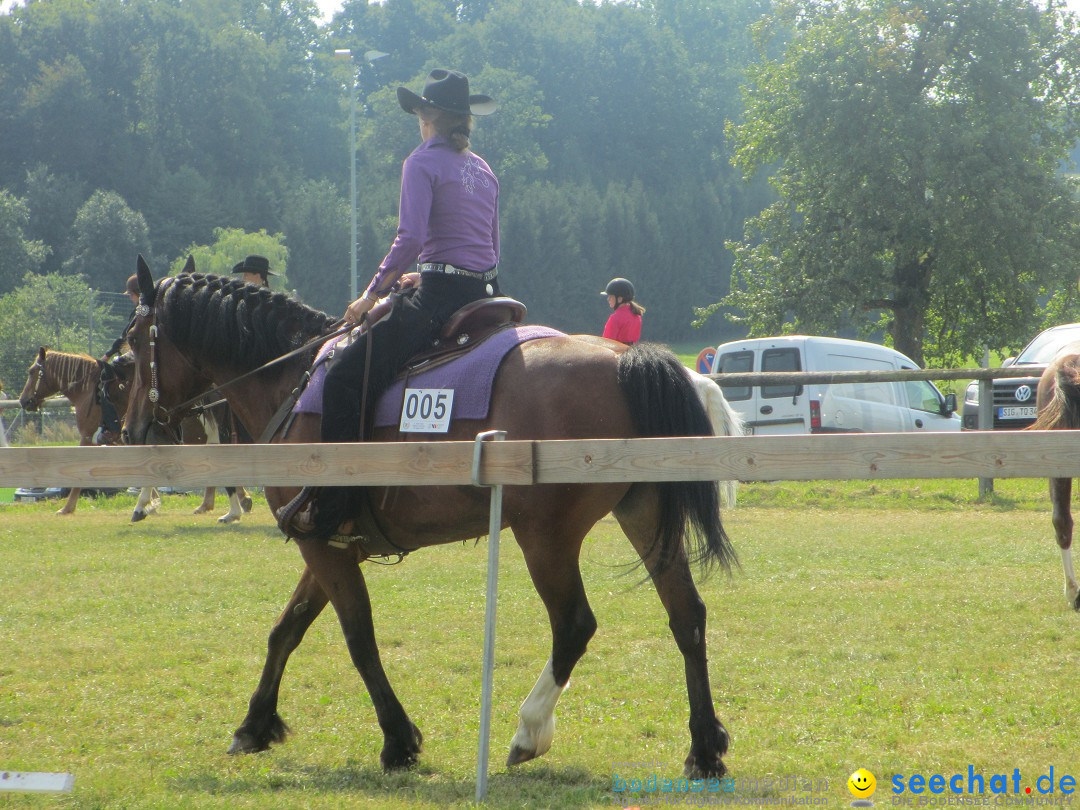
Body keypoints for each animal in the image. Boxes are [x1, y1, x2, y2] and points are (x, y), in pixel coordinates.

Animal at [122, 267, 738, 781]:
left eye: (133, 343)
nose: (130, 430)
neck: (293, 386)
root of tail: (626, 361)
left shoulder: (322, 545)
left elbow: (359, 639)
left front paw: (398, 741)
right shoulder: (327, 542)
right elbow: (286, 630)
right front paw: (254, 725)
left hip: (546, 536)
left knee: (574, 625)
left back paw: (528, 732)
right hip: (644, 513)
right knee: (687, 615)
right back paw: (704, 748)